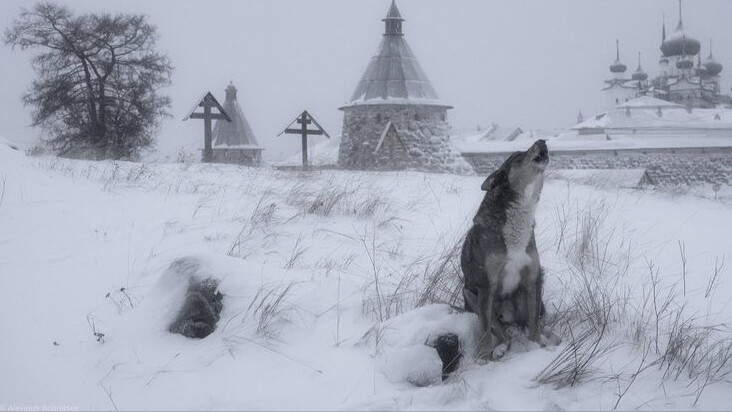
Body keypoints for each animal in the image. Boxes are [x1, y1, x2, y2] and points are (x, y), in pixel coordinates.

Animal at [460, 139, 548, 360]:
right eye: (517, 156)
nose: (542, 141)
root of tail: (508, 316)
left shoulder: (532, 279)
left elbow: (534, 324)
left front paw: (535, 349)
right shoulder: (486, 286)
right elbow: (484, 332)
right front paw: (483, 360)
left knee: (530, 323)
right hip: (471, 295)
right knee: (502, 333)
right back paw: (499, 348)